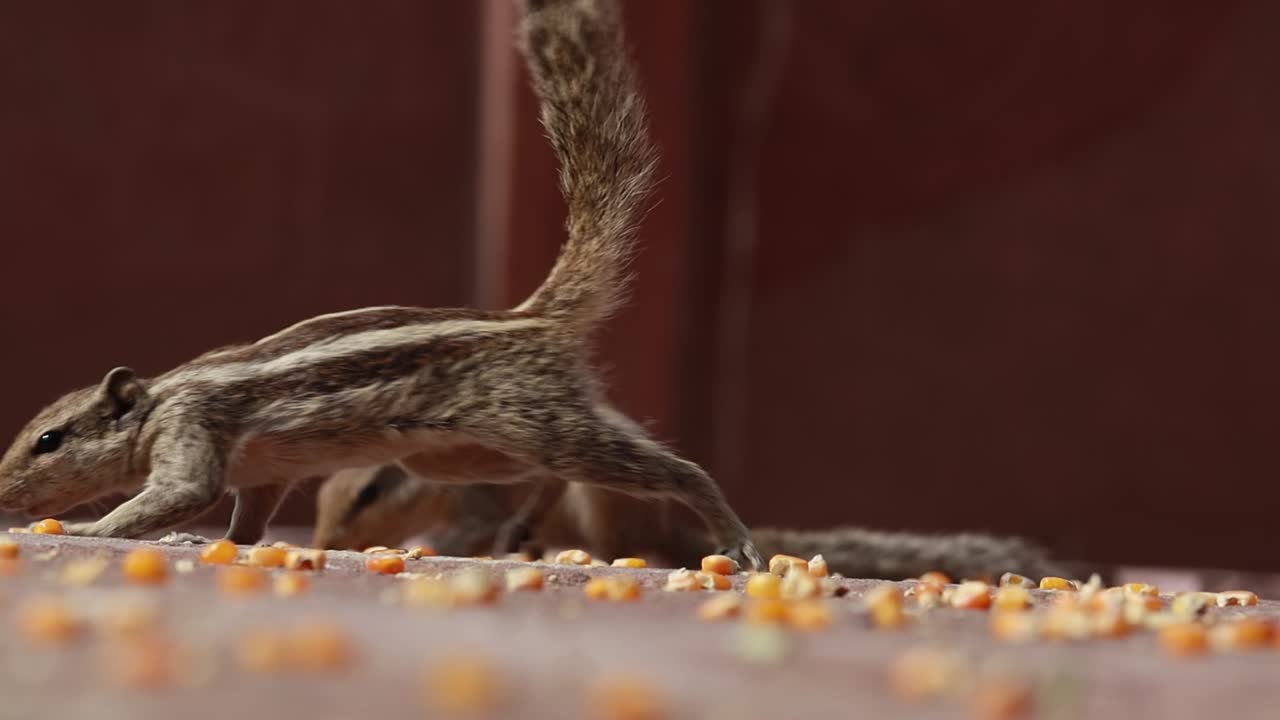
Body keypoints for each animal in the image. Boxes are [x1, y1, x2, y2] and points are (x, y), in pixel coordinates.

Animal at [0, 0, 764, 570]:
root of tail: (533, 318)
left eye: (49, 440)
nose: (3, 493)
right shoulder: (262, 476)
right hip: (463, 455)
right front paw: (209, 540)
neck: (161, 399)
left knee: (671, 468)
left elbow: (182, 492)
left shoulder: (193, 429)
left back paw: (731, 535)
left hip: (536, 425)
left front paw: (92, 531)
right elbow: (245, 524)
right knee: (558, 475)